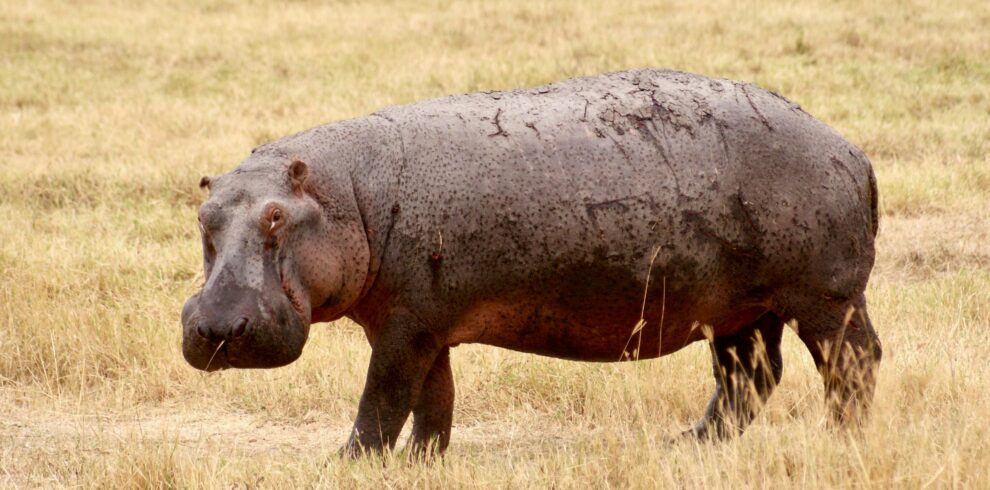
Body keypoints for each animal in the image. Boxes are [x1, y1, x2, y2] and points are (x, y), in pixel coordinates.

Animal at [181, 69, 882, 456]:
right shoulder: (424, 326)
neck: (349, 193)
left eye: (276, 217)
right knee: (748, 378)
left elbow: (382, 400)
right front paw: (422, 463)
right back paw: (688, 445)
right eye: (204, 213)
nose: (215, 329)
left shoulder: (404, 330)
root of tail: (850, 148)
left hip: (825, 298)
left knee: (851, 363)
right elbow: (433, 402)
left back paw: (840, 439)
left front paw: (347, 463)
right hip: (740, 310)